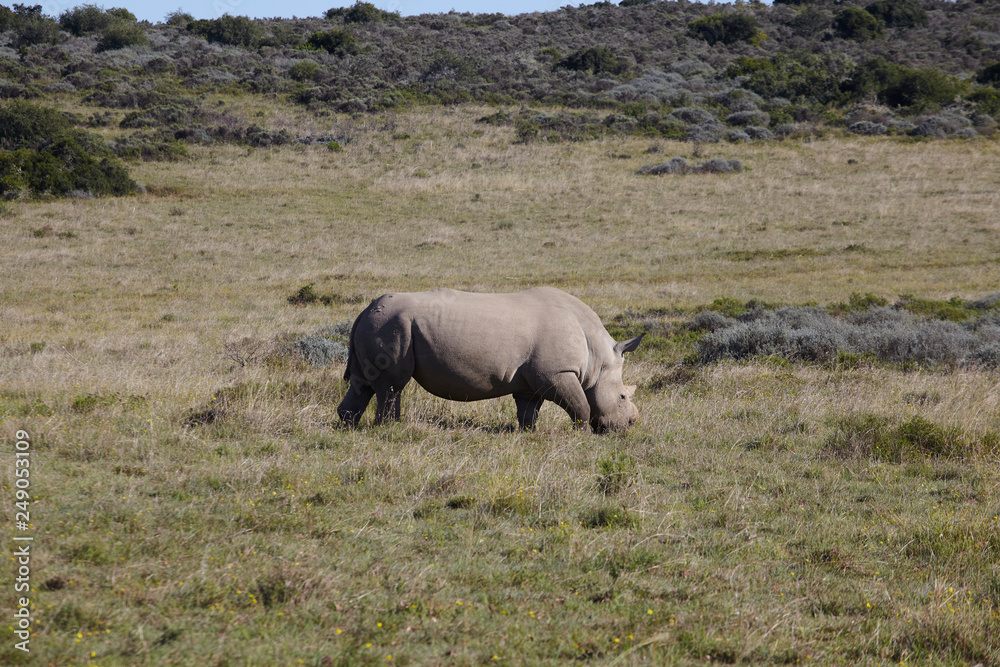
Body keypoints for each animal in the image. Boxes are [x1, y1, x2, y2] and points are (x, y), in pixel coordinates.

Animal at [340, 288, 644, 434]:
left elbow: (528, 411)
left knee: (363, 384)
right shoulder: (556, 372)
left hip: (378, 324)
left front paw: (529, 434)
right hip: (391, 325)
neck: (597, 358)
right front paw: (580, 434)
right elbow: (580, 404)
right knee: (392, 386)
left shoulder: (530, 382)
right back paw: (391, 428)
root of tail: (364, 310)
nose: (628, 426)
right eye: (622, 396)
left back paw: (347, 427)